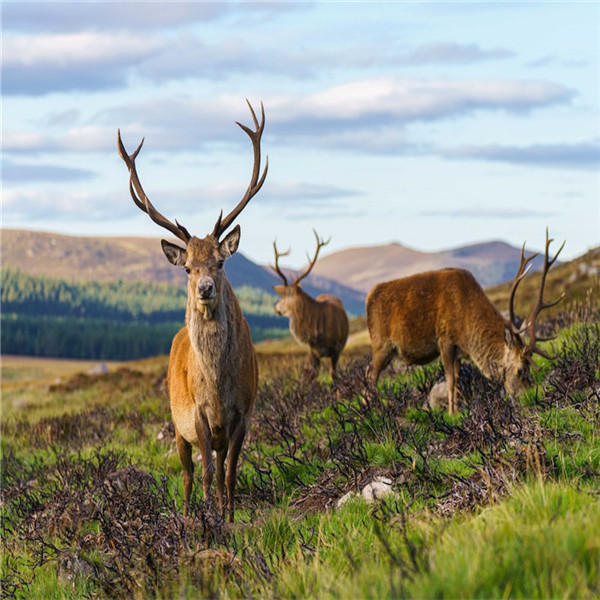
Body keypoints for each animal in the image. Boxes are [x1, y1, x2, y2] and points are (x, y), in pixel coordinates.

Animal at [117, 99, 268, 520]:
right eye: (187, 267)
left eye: (221, 261)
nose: (205, 289)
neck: (217, 387)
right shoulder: (196, 416)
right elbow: (204, 477)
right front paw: (208, 518)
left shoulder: (243, 412)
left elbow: (229, 475)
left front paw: (229, 517)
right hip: (174, 419)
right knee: (185, 476)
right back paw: (186, 514)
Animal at [366, 230, 564, 412]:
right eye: (520, 369)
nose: (529, 396)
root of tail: (369, 298)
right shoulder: (444, 340)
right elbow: (450, 381)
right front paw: (452, 413)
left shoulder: (458, 351)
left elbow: (457, 380)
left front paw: (460, 410)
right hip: (381, 344)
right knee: (371, 375)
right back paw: (371, 412)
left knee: (368, 371)